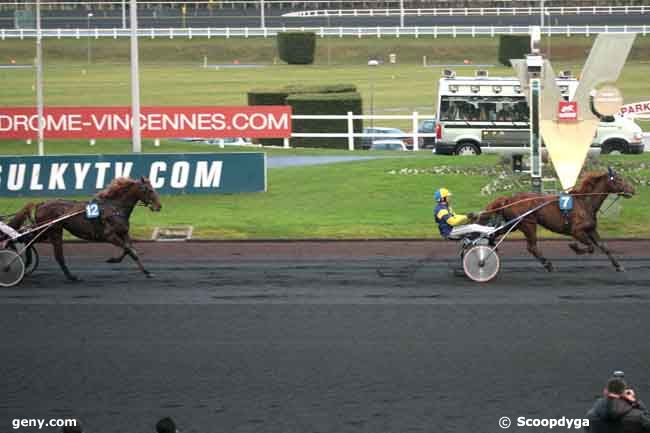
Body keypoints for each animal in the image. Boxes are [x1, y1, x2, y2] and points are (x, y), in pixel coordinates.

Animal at [12, 176, 161, 280]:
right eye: (149, 190)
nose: (159, 206)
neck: (115, 207)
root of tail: (41, 204)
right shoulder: (109, 235)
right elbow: (128, 249)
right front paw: (113, 260)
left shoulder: (123, 232)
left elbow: (131, 250)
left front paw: (147, 272)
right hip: (51, 230)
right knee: (36, 244)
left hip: (47, 231)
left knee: (30, 240)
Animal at [480, 168, 632, 272]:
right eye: (619, 179)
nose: (632, 189)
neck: (585, 202)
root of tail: (509, 199)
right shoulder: (576, 231)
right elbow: (589, 247)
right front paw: (575, 247)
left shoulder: (591, 229)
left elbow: (603, 246)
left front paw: (618, 266)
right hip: (528, 224)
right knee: (532, 247)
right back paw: (548, 264)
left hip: (515, 224)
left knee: (495, 233)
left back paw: (491, 245)